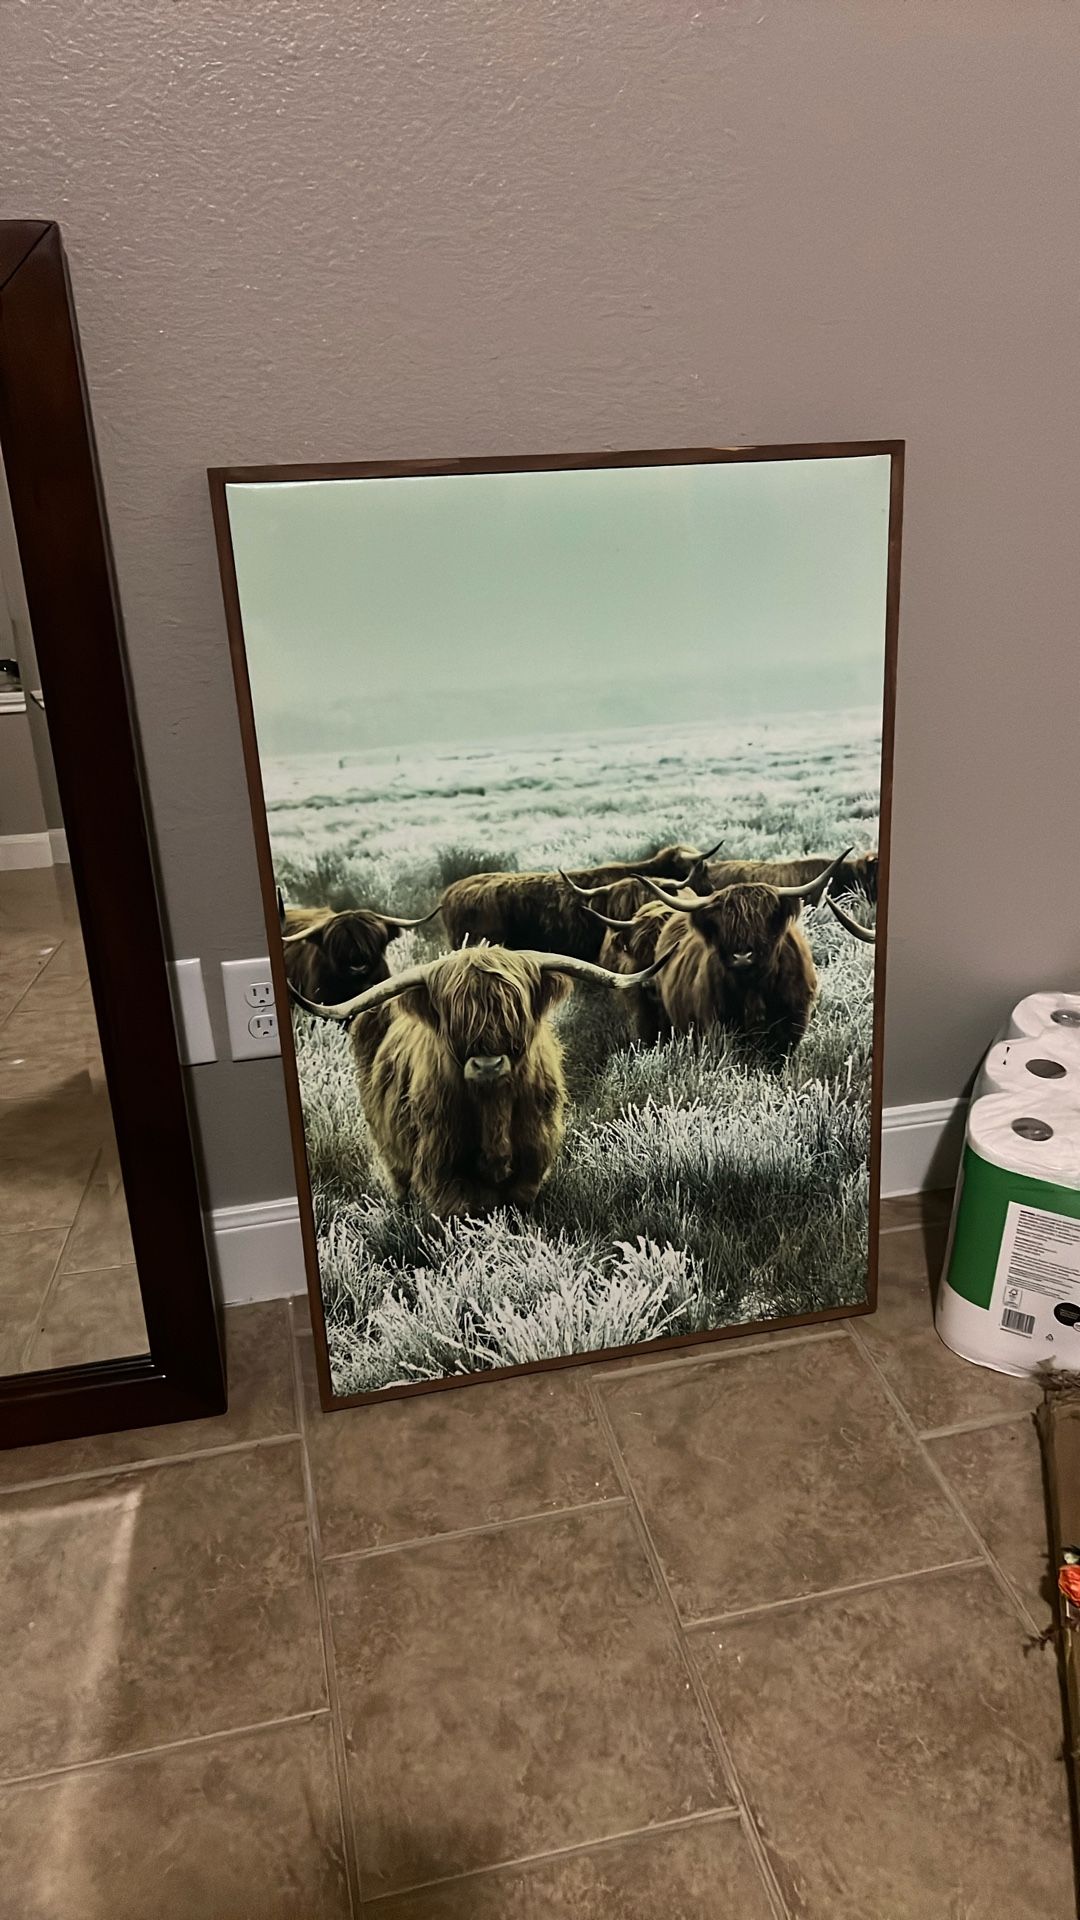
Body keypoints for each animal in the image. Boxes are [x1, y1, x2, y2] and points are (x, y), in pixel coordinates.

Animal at [290, 942, 671, 1220]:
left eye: (514, 1010)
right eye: (454, 1018)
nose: (488, 1063)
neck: (493, 1110)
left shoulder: (531, 1164)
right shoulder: (442, 1173)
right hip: (391, 1152)